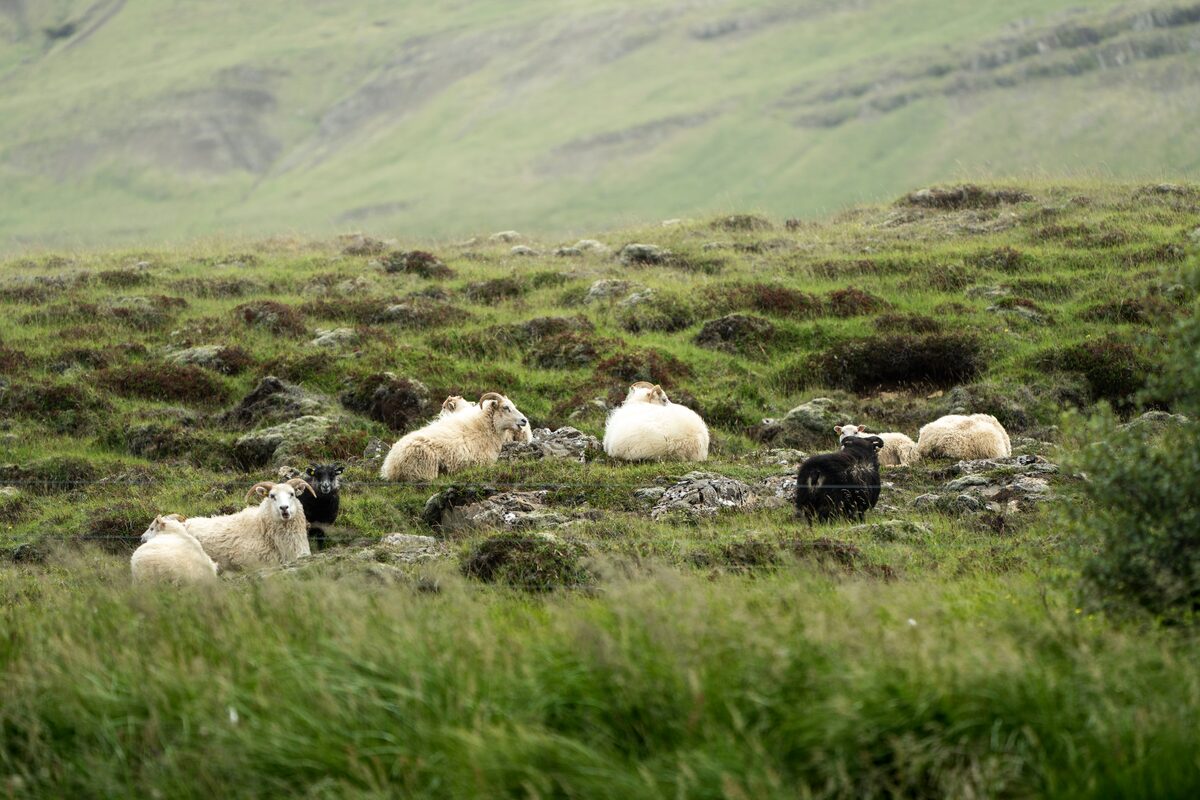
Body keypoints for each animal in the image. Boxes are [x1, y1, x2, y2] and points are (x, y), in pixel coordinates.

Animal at [380, 392, 530, 481]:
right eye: (506, 407)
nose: (524, 420)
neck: (483, 428)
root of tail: (390, 465)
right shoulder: (483, 463)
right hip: (424, 467)